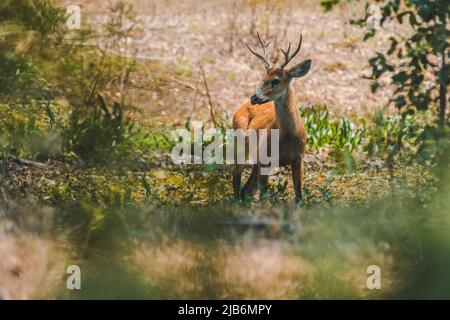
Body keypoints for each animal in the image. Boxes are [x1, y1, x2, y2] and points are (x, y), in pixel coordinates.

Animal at [232, 32, 312, 202]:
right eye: (263, 79)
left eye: (275, 80)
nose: (254, 97)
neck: (288, 137)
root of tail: (239, 108)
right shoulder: (265, 159)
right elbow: (264, 197)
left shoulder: (299, 158)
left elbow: (299, 195)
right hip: (240, 144)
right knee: (236, 175)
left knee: (246, 188)